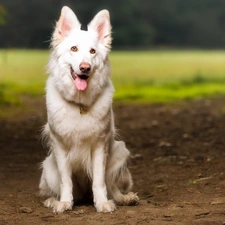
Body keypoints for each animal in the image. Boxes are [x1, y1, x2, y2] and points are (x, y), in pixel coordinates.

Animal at [38, 4, 139, 213]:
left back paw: (125, 198)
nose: (85, 68)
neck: (80, 105)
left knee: (112, 187)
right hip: (49, 167)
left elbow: (99, 181)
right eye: (74, 49)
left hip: (119, 152)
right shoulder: (60, 146)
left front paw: (102, 203)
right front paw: (64, 203)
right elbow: (65, 181)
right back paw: (54, 200)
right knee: (54, 190)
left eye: (92, 51)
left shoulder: (100, 146)